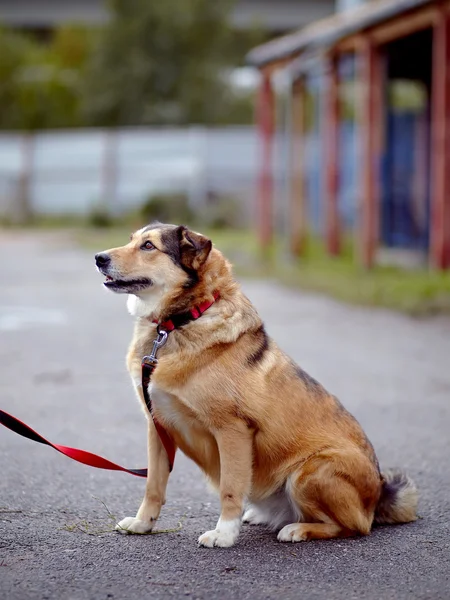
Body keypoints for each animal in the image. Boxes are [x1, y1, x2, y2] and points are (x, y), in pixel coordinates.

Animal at [95, 223, 418, 548]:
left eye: (148, 246)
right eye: (131, 240)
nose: (99, 258)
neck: (179, 322)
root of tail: (379, 495)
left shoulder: (232, 430)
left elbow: (230, 488)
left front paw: (224, 534)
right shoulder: (157, 426)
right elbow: (153, 485)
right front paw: (142, 523)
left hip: (309, 472)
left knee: (353, 526)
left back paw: (298, 529)